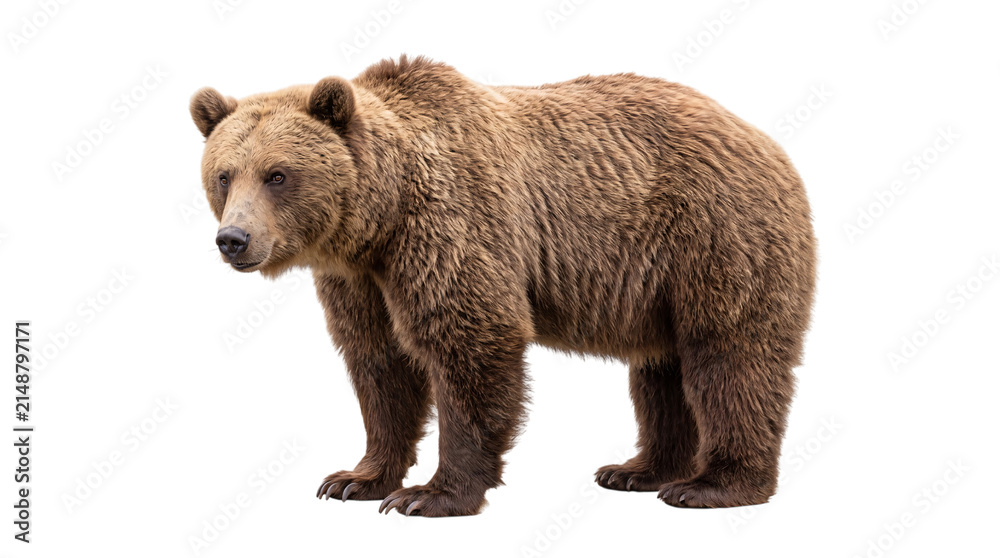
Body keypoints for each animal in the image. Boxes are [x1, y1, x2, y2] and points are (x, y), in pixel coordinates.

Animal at [190, 55, 816, 517]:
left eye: (277, 174)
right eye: (223, 174)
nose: (233, 239)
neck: (379, 221)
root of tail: (765, 139)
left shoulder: (450, 227)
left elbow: (469, 342)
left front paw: (430, 495)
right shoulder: (359, 280)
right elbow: (379, 365)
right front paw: (354, 479)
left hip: (716, 236)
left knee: (730, 355)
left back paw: (711, 485)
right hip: (654, 283)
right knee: (661, 369)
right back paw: (636, 470)